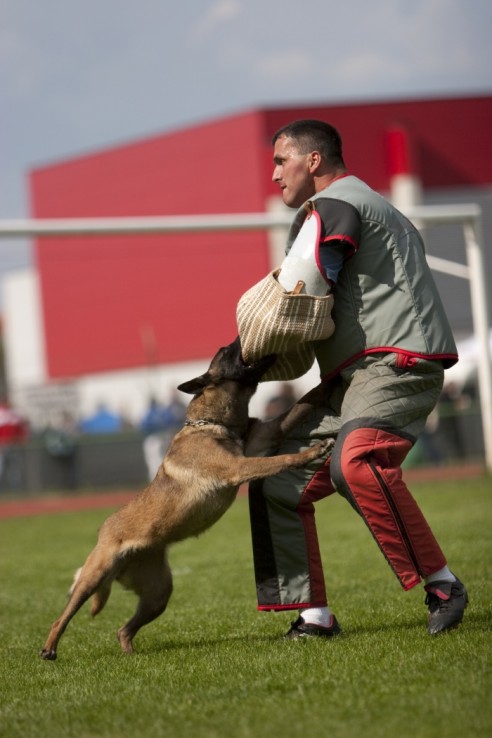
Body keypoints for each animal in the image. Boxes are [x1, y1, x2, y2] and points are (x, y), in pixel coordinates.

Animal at [40, 338, 332, 660]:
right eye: (227, 351)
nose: (237, 338)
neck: (214, 423)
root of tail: (103, 532)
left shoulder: (265, 437)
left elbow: (299, 405)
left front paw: (329, 382)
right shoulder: (239, 467)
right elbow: (282, 459)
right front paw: (312, 451)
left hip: (158, 593)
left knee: (123, 629)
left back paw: (129, 654)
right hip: (93, 577)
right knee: (61, 618)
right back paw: (49, 649)